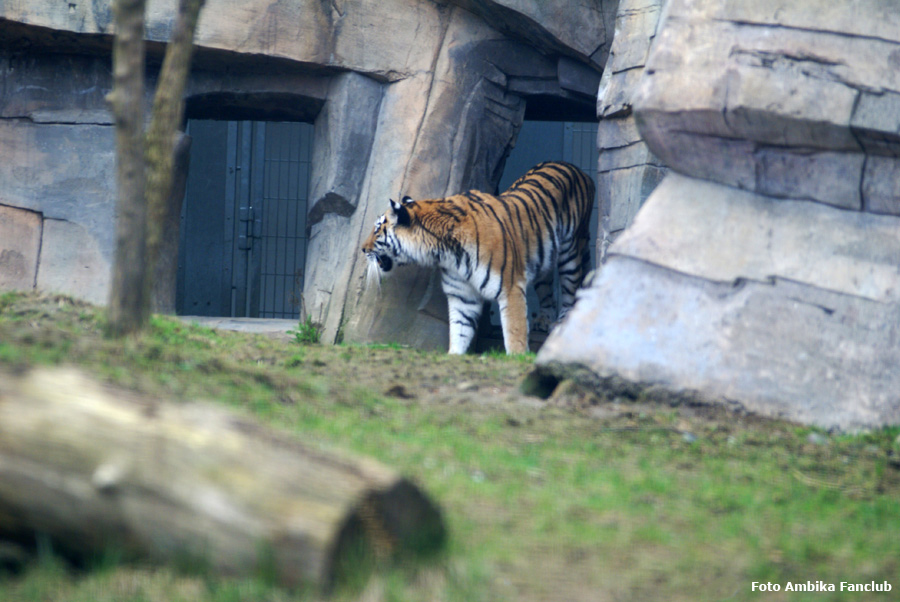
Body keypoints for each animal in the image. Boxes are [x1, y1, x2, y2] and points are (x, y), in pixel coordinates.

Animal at [362, 162, 596, 354]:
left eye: (377, 230)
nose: (363, 250)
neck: (445, 253)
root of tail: (579, 169)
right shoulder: (462, 294)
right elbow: (459, 330)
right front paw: (454, 355)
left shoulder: (511, 288)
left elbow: (515, 331)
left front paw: (517, 358)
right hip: (542, 260)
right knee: (547, 292)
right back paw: (544, 320)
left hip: (571, 253)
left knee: (570, 291)